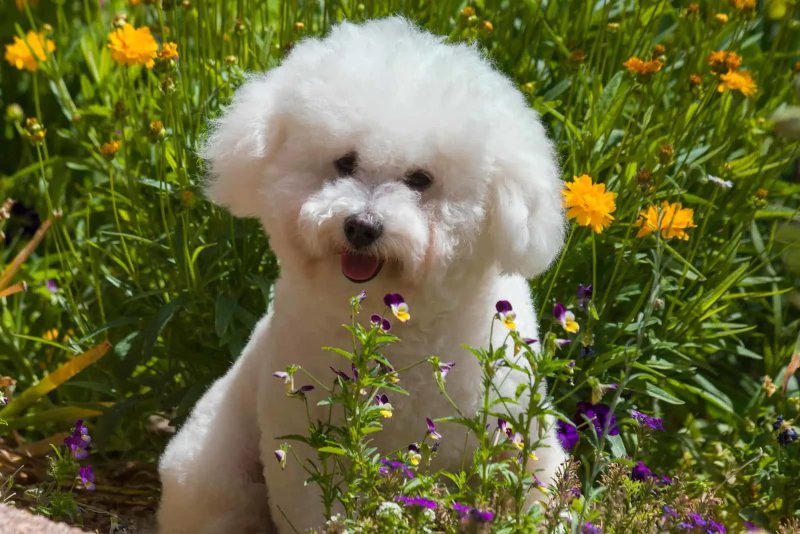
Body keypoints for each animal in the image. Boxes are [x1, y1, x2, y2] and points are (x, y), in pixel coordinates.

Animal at [158, 16, 564, 534]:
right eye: (345, 162)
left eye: (420, 179)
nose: (361, 226)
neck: (395, 327)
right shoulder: (309, 445)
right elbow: (314, 508)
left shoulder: (518, 439)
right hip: (208, 468)